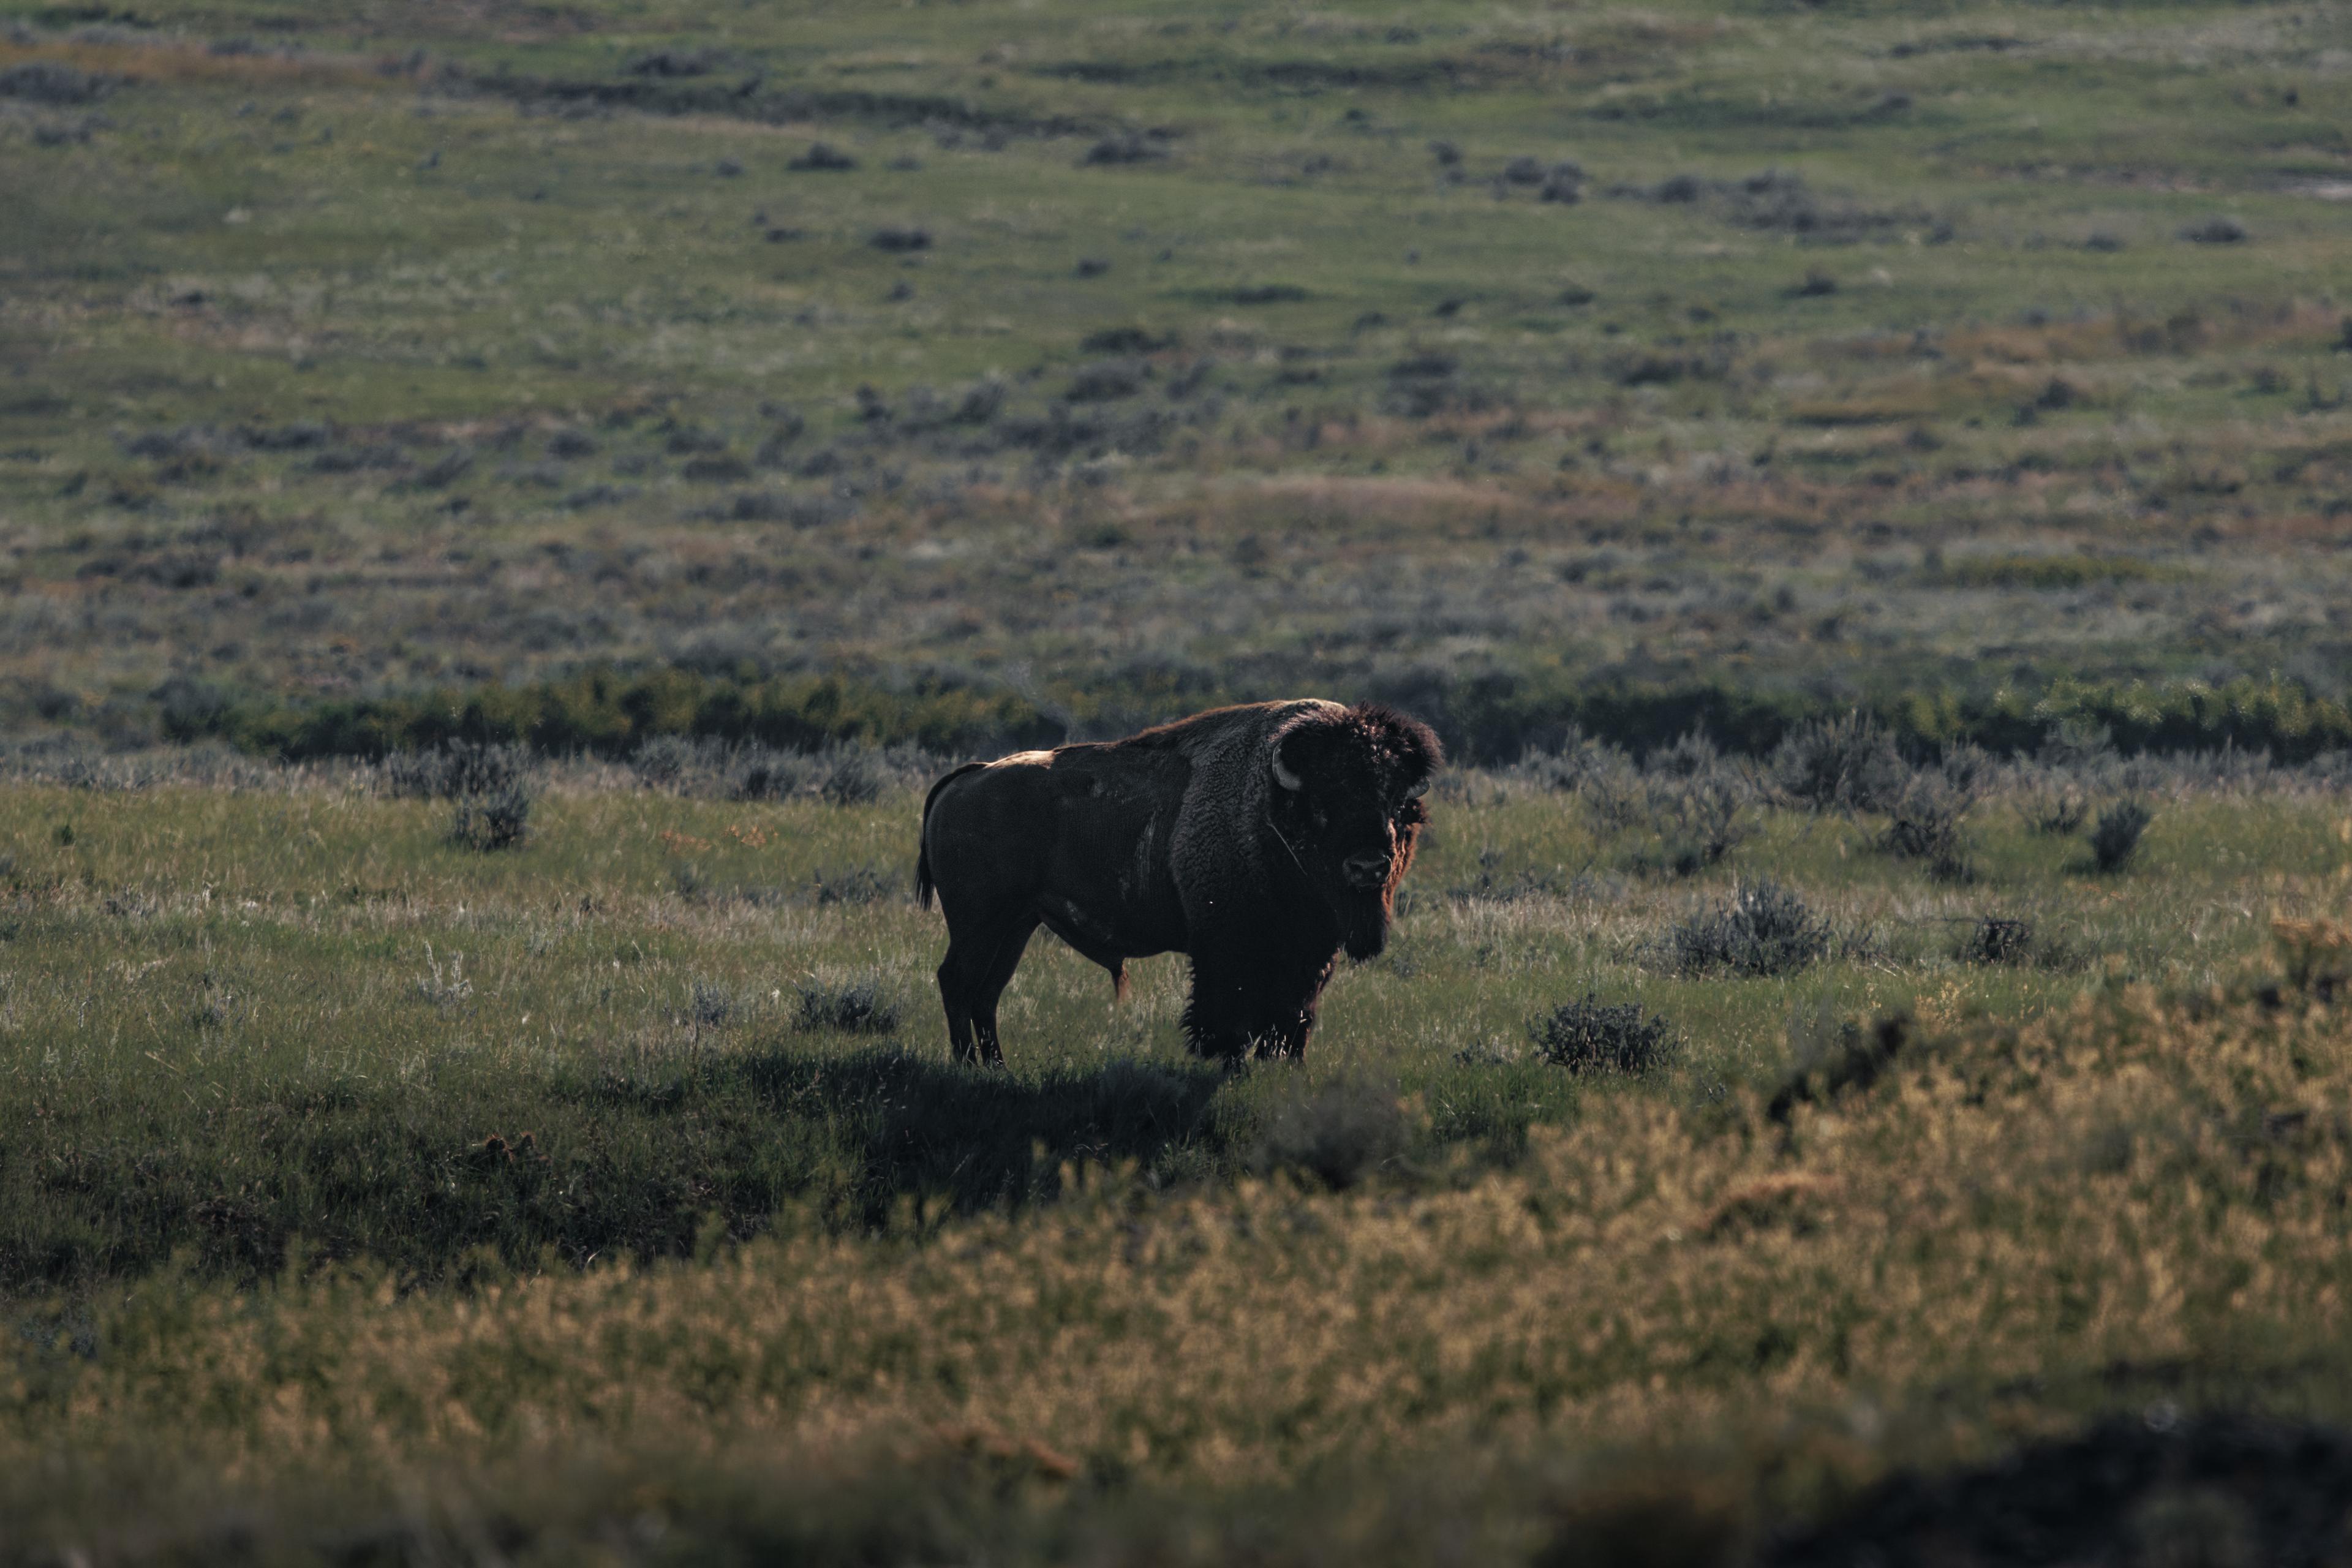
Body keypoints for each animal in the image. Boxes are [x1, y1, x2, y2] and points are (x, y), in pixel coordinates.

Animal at [915, 699, 1441, 1065]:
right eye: (1323, 803)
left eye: (1398, 805)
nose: (1369, 866)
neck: (1268, 810)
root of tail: (968, 779)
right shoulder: (1224, 952)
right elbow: (1224, 1020)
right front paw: (1229, 1066)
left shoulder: (1310, 956)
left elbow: (1292, 1020)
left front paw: (1284, 1068)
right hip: (978, 923)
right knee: (957, 981)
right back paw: (968, 1066)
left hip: (1017, 925)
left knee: (987, 992)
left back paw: (997, 1067)